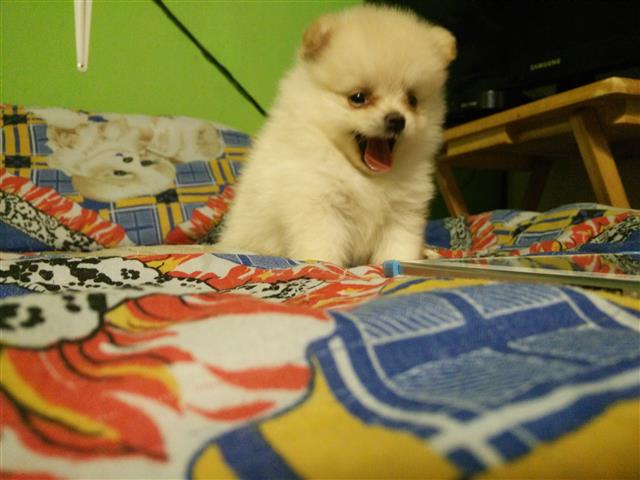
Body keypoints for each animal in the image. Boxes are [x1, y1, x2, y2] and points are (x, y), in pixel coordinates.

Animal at [216, 5, 456, 266]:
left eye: (412, 100)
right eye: (358, 98)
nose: (397, 119)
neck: (365, 178)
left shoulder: (402, 212)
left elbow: (398, 250)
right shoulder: (319, 205)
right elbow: (323, 249)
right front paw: (324, 267)